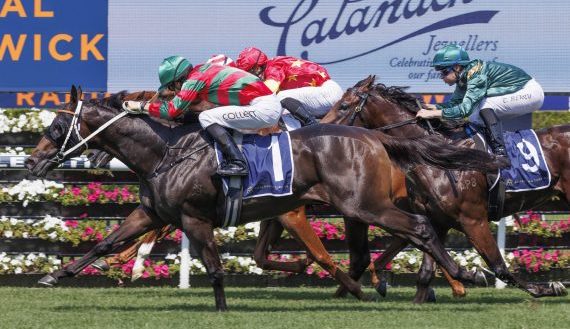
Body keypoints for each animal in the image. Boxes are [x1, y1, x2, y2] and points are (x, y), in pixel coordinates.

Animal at [25, 86, 502, 308]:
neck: (167, 150)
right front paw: (56, 275)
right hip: (362, 209)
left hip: (364, 206)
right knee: (408, 237)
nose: (32, 161)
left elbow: (220, 267)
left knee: (421, 229)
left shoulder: (201, 216)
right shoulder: (150, 212)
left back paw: (465, 275)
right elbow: (106, 242)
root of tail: (376, 137)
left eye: (56, 126)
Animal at [318, 75, 564, 302]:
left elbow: (499, 267)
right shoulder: (436, 219)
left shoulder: (473, 219)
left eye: (344, 105)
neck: (439, 157)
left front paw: (546, 288)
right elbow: (426, 270)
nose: (318, 127)